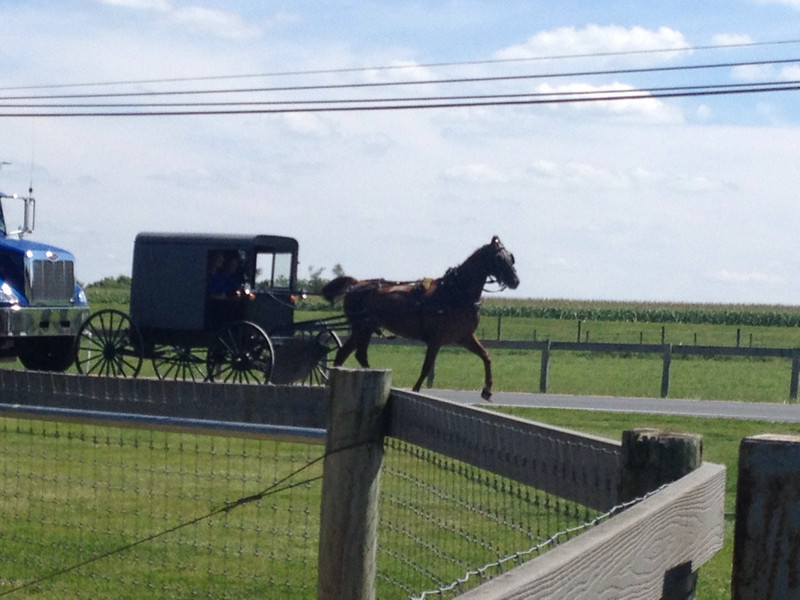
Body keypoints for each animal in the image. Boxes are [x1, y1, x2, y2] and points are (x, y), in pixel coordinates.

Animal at [322, 237, 520, 400]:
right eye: (499, 259)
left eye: (511, 257)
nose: (515, 281)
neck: (455, 293)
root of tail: (356, 285)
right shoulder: (436, 339)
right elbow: (426, 368)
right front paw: (415, 390)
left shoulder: (464, 338)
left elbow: (486, 357)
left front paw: (487, 390)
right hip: (361, 327)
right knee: (349, 353)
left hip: (366, 328)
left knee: (353, 353)